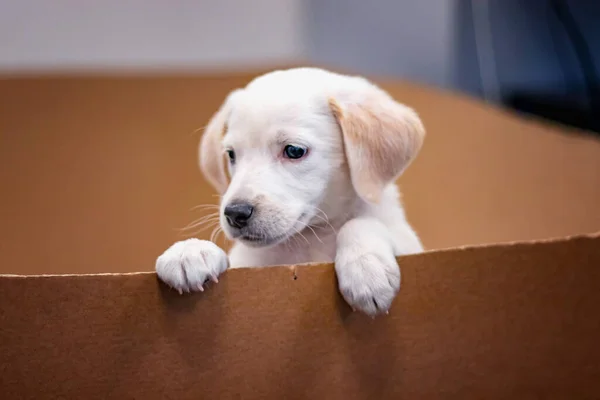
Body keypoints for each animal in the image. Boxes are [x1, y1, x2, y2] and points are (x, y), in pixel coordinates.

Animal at [157, 68, 424, 316]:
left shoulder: (411, 246)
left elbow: (362, 223)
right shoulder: (246, 263)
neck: (308, 242)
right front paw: (189, 251)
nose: (235, 213)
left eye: (294, 150)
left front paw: (365, 267)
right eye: (231, 154)